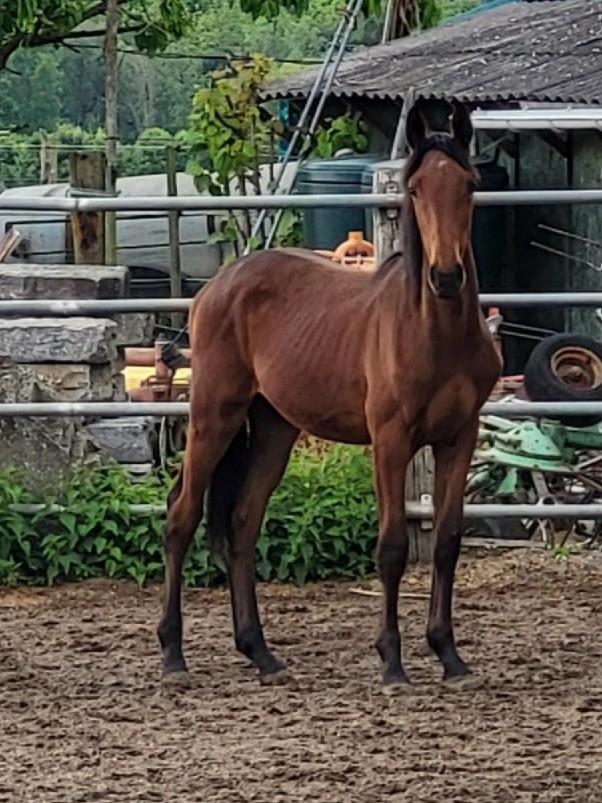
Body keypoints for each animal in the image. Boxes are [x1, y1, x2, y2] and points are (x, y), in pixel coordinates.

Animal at [157, 98, 502, 689]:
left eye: (469, 185)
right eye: (415, 190)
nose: (446, 277)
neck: (431, 333)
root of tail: (215, 288)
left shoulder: (460, 437)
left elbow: (447, 541)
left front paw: (448, 655)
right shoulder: (390, 442)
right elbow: (391, 548)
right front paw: (392, 662)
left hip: (273, 428)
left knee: (243, 523)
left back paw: (261, 653)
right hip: (213, 417)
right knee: (182, 517)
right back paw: (173, 654)